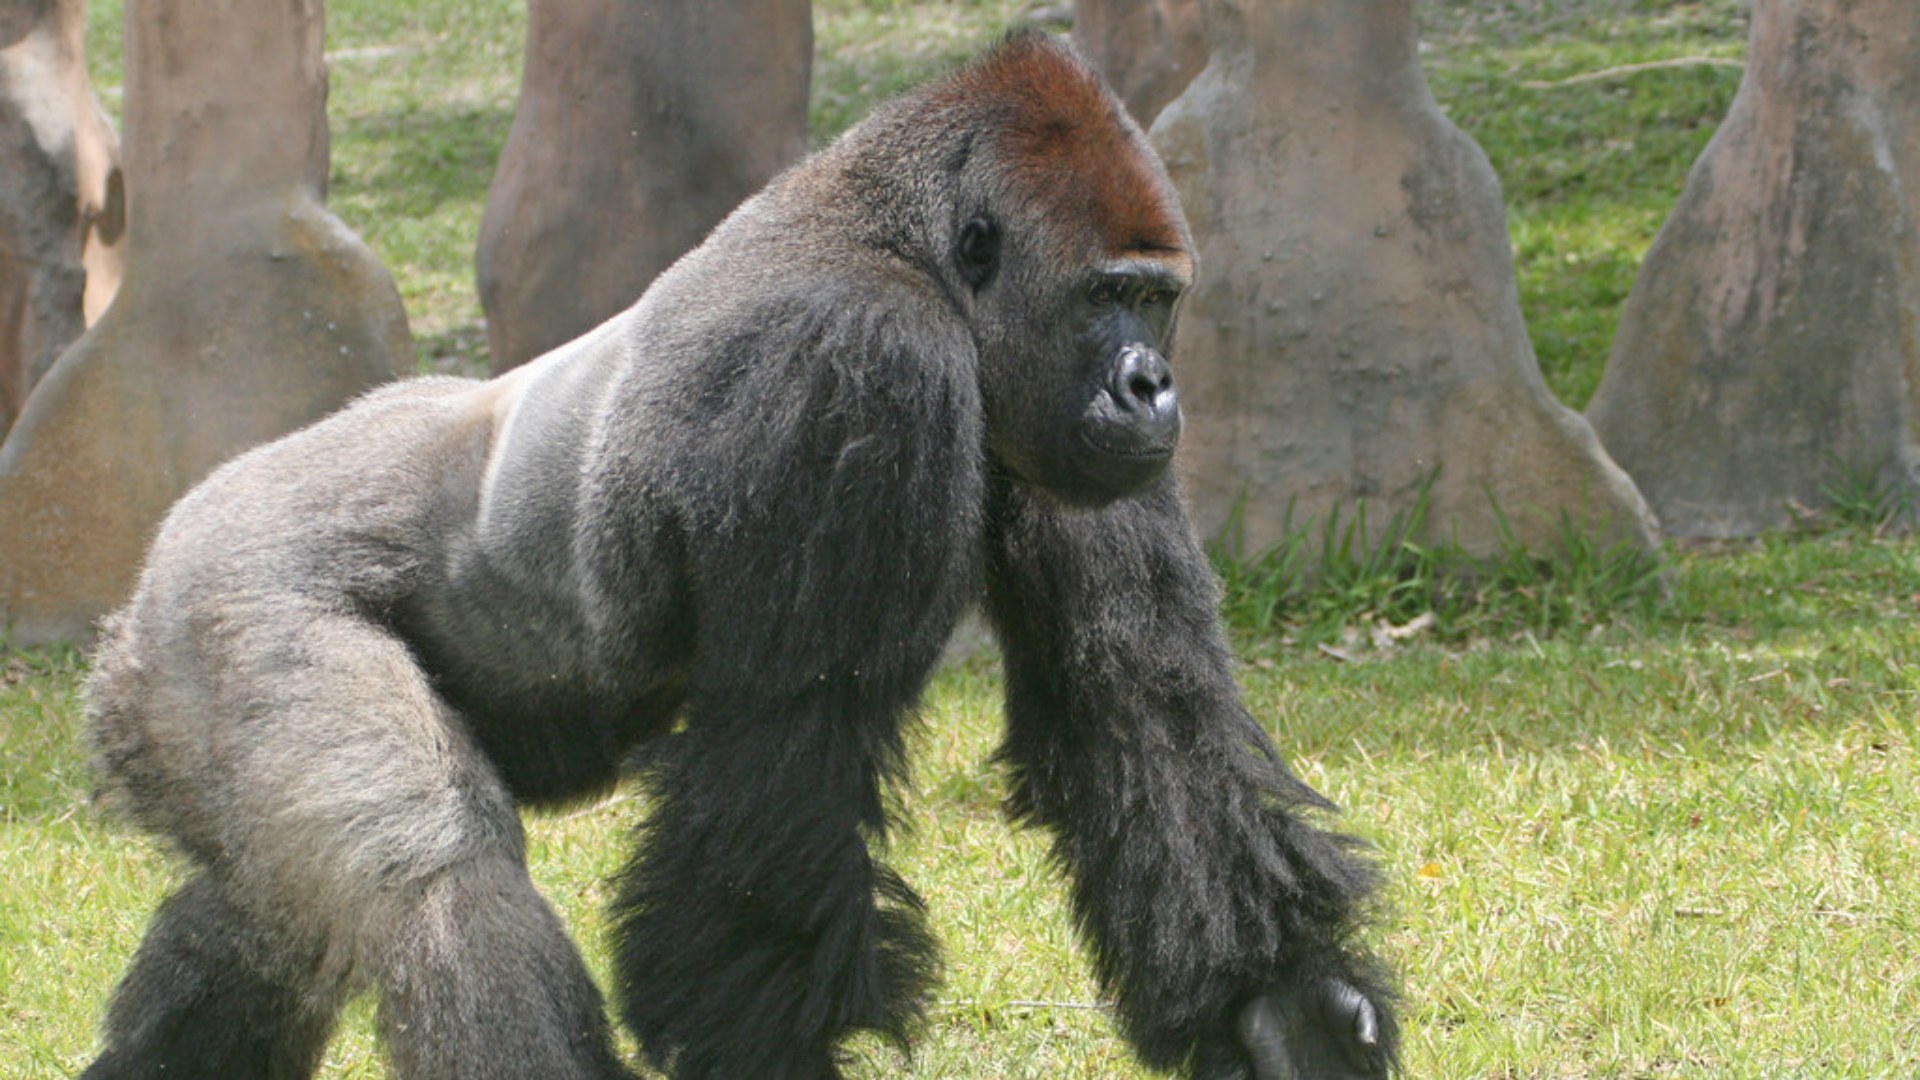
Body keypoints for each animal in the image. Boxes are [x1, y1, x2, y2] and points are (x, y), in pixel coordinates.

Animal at [79, 33, 1397, 1080]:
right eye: (1105, 298)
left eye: (1159, 300)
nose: (1152, 384)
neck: (905, 242)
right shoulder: (856, 361)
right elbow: (779, 778)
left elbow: (1141, 724)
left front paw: (1282, 1014)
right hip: (231, 595)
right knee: (443, 889)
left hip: (178, 688)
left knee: (263, 917)